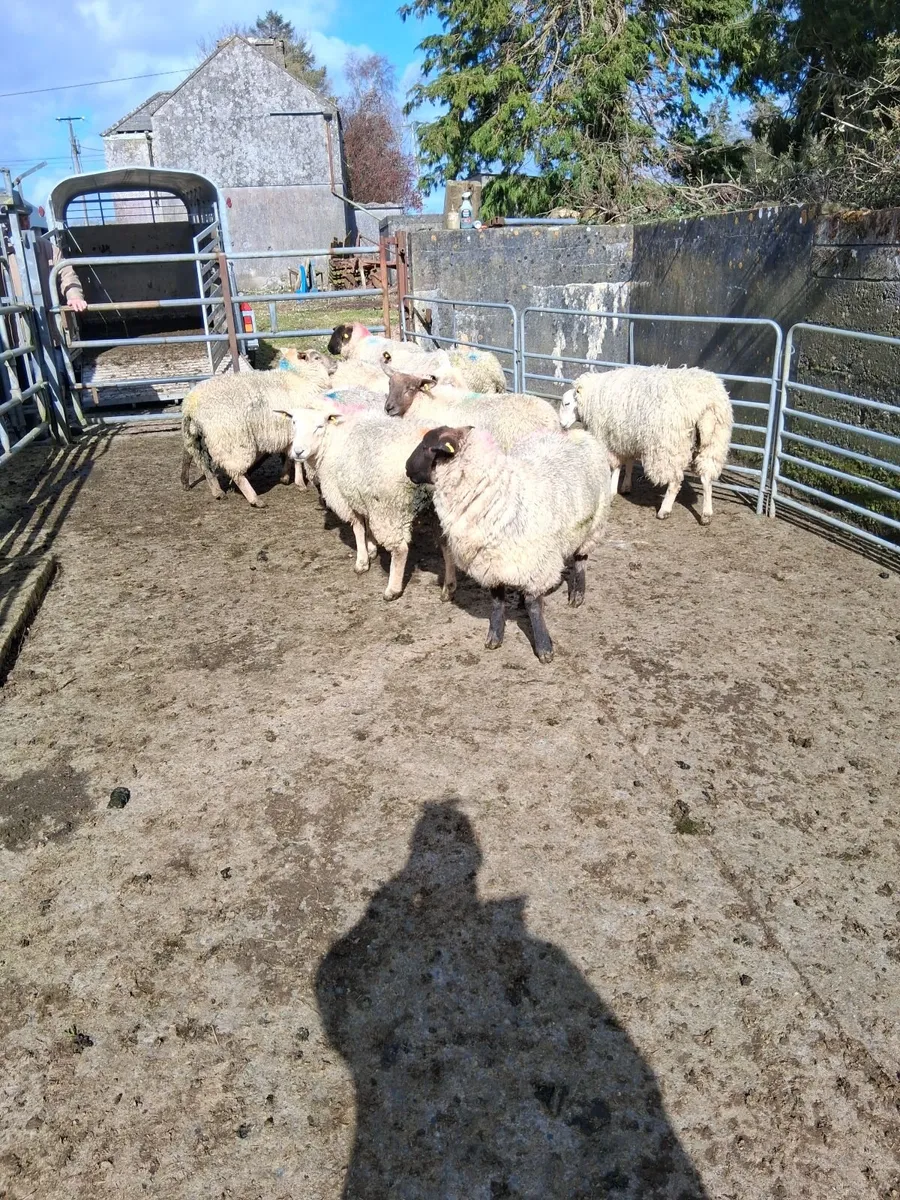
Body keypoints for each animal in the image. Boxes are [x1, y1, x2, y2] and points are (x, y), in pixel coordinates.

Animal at [274, 401, 453, 601]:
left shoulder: (348, 499)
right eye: (294, 423)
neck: (332, 442)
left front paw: (362, 561)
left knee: (400, 549)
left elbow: (358, 529)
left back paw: (392, 590)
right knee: (448, 545)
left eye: (319, 426)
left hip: (388, 507)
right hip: (437, 508)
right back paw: (449, 588)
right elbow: (367, 527)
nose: (298, 451)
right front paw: (372, 548)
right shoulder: (362, 495)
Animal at [406, 425, 610, 663]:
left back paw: (578, 595)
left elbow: (534, 606)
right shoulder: (491, 563)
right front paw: (494, 636)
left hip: (593, 525)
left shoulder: (537, 562)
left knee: (580, 560)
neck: (497, 494)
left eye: (426, 446)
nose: (406, 469)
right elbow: (497, 601)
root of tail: (573, 431)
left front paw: (544, 647)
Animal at [560, 366, 734, 525]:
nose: (561, 425)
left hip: (669, 446)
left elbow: (615, 465)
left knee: (675, 481)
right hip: (715, 442)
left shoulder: (609, 437)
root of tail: (705, 403)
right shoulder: (625, 437)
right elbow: (628, 462)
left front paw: (611, 489)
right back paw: (706, 514)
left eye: (567, 403)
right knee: (706, 478)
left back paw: (664, 510)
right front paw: (625, 486)